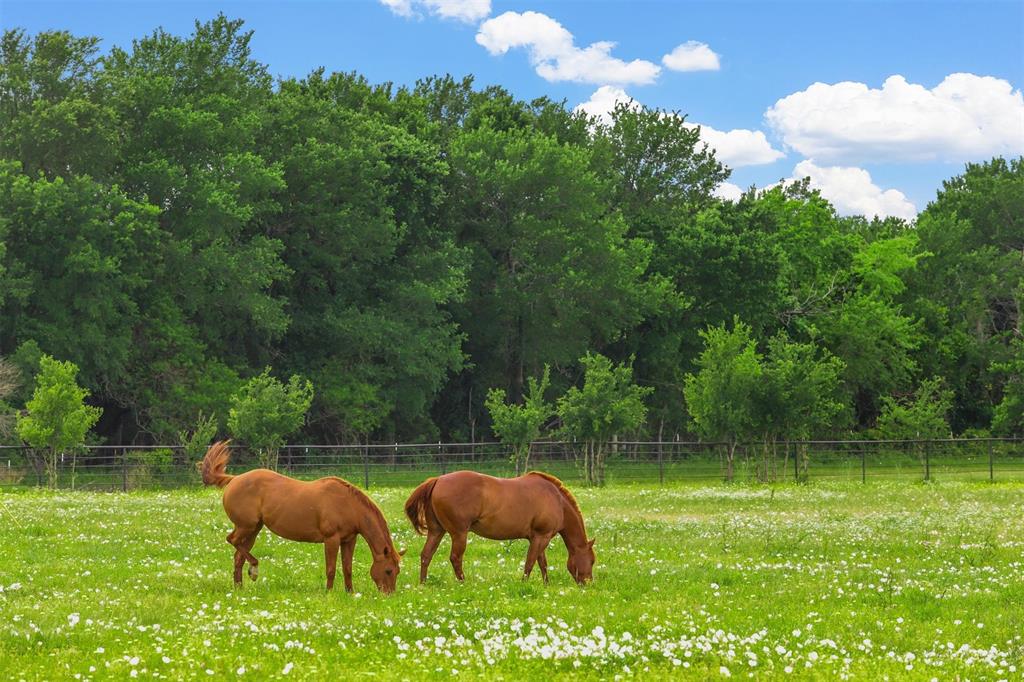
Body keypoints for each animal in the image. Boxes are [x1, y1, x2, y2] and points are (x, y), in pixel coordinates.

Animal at [199, 440, 403, 589]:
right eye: (388, 571)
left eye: (396, 571)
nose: (389, 594)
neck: (348, 505)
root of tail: (234, 479)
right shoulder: (331, 539)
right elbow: (331, 569)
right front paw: (329, 593)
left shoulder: (349, 540)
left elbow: (347, 568)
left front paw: (350, 593)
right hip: (245, 526)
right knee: (232, 540)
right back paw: (254, 569)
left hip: (253, 530)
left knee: (238, 556)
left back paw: (240, 587)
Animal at [399, 466, 593, 585]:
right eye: (592, 560)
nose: (588, 583)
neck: (556, 499)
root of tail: (438, 480)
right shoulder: (541, 537)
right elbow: (530, 562)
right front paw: (524, 584)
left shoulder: (537, 538)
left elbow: (542, 563)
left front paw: (546, 585)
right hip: (459, 534)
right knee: (455, 558)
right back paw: (463, 582)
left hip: (436, 531)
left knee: (426, 555)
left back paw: (423, 584)